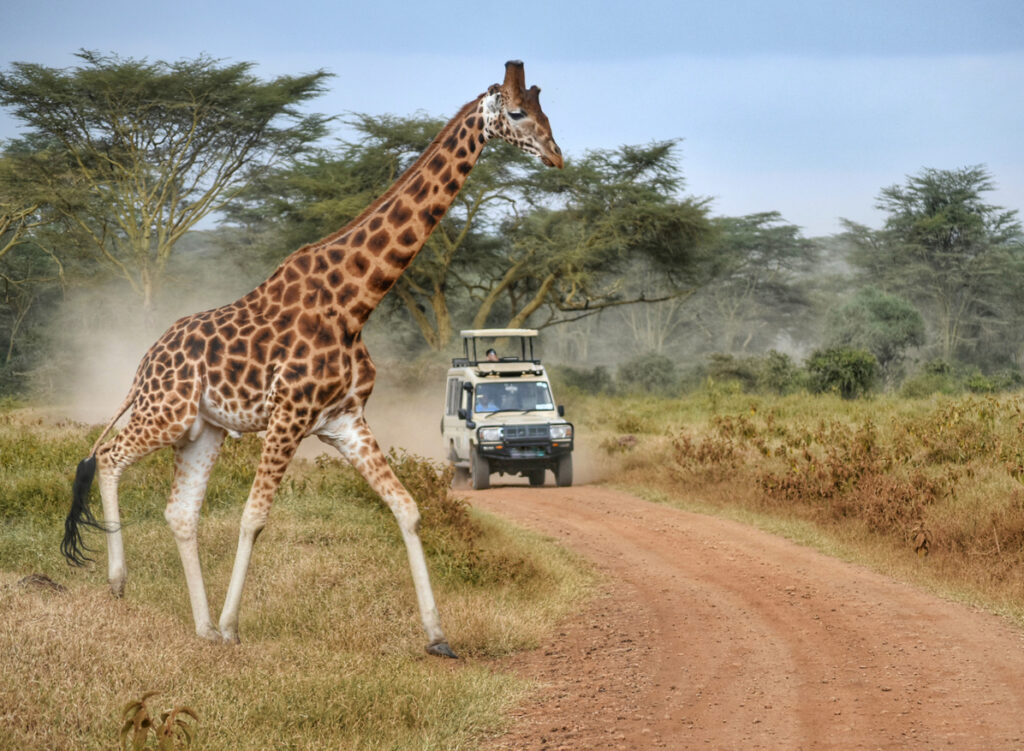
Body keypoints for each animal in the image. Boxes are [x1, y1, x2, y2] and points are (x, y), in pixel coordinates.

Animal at [61, 60, 562, 658]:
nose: (557, 157)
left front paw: (438, 636)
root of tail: (144, 363)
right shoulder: (289, 415)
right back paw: (121, 583)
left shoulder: (344, 419)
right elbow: (254, 516)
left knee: (179, 510)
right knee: (108, 456)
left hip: (203, 429)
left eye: (546, 112)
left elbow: (407, 508)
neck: (355, 302)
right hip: (168, 413)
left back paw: (199, 626)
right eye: (518, 113)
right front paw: (232, 627)